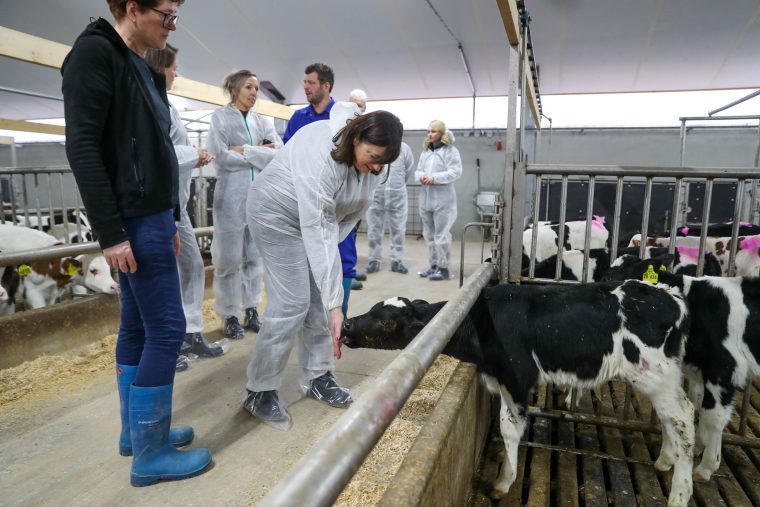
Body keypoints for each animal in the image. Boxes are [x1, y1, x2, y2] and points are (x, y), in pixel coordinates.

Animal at [342, 282, 696, 507]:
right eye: (373, 308)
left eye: (386, 322)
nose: (346, 325)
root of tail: (670, 297)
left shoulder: (517, 378)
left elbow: (509, 428)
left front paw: (503, 482)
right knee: (670, 421)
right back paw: (665, 461)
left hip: (656, 373)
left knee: (685, 418)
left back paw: (679, 494)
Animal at [604, 256, 760, 482]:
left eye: (612, 277)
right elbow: (698, 408)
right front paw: (694, 448)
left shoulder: (723, 370)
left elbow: (714, 419)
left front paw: (706, 467)